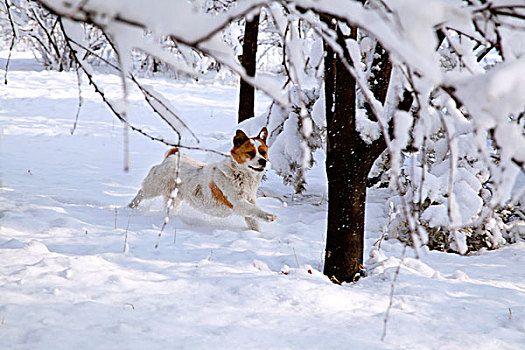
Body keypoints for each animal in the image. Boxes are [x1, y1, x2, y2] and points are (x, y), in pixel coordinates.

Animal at [129, 127, 276, 231]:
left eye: (263, 152)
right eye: (250, 153)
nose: (263, 161)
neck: (241, 175)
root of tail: (173, 154)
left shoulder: (249, 202)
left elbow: (253, 220)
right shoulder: (237, 202)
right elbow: (254, 210)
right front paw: (269, 216)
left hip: (175, 197)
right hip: (154, 186)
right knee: (141, 193)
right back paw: (130, 208)